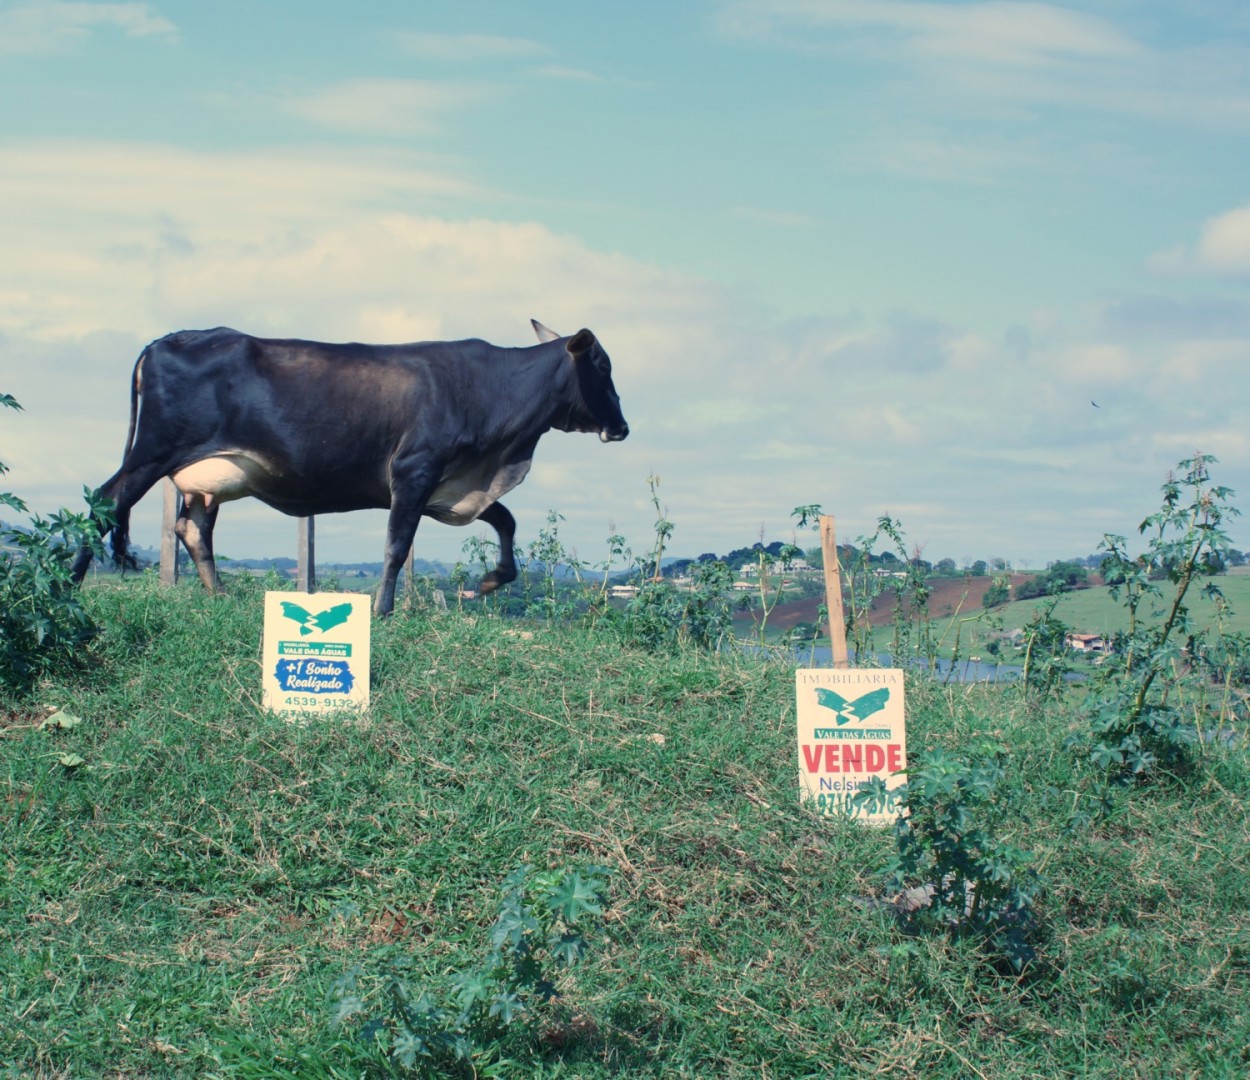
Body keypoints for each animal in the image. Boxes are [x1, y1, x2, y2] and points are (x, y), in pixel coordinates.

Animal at [73, 316, 630, 612]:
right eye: (602, 365)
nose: (622, 426)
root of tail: (166, 339)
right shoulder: (414, 471)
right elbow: (396, 546)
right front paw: (383, 611)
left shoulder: (452, 484)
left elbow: (506, 520)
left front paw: (492, 580)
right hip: (153, 452)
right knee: (105, 502)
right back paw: (70, 583)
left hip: (205, 478)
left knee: (193, 528)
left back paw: (219, 596)